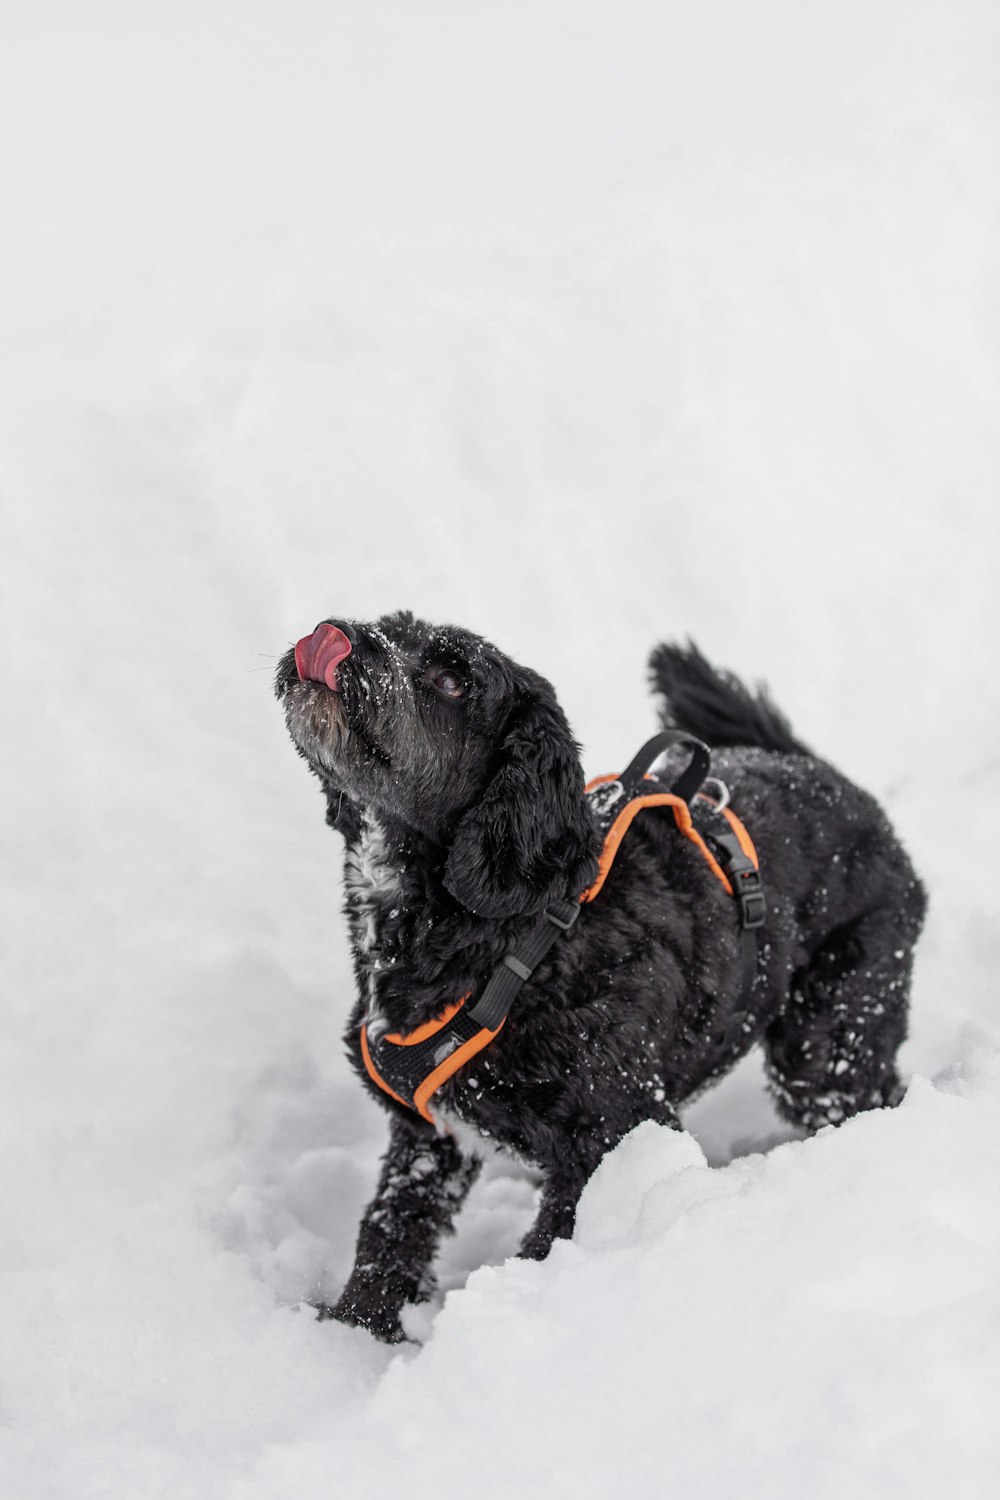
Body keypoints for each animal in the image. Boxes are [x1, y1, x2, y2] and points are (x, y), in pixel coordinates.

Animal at [271, 615, 923, 1344]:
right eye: (392, 628)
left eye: (451, 679)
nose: (337, 633)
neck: (514, 932)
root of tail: (829, 778)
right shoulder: (428, 1134)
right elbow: (391, 1229)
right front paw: (351, 1333)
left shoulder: (616, 1128)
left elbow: (552, 1245)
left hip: (828, 1038)